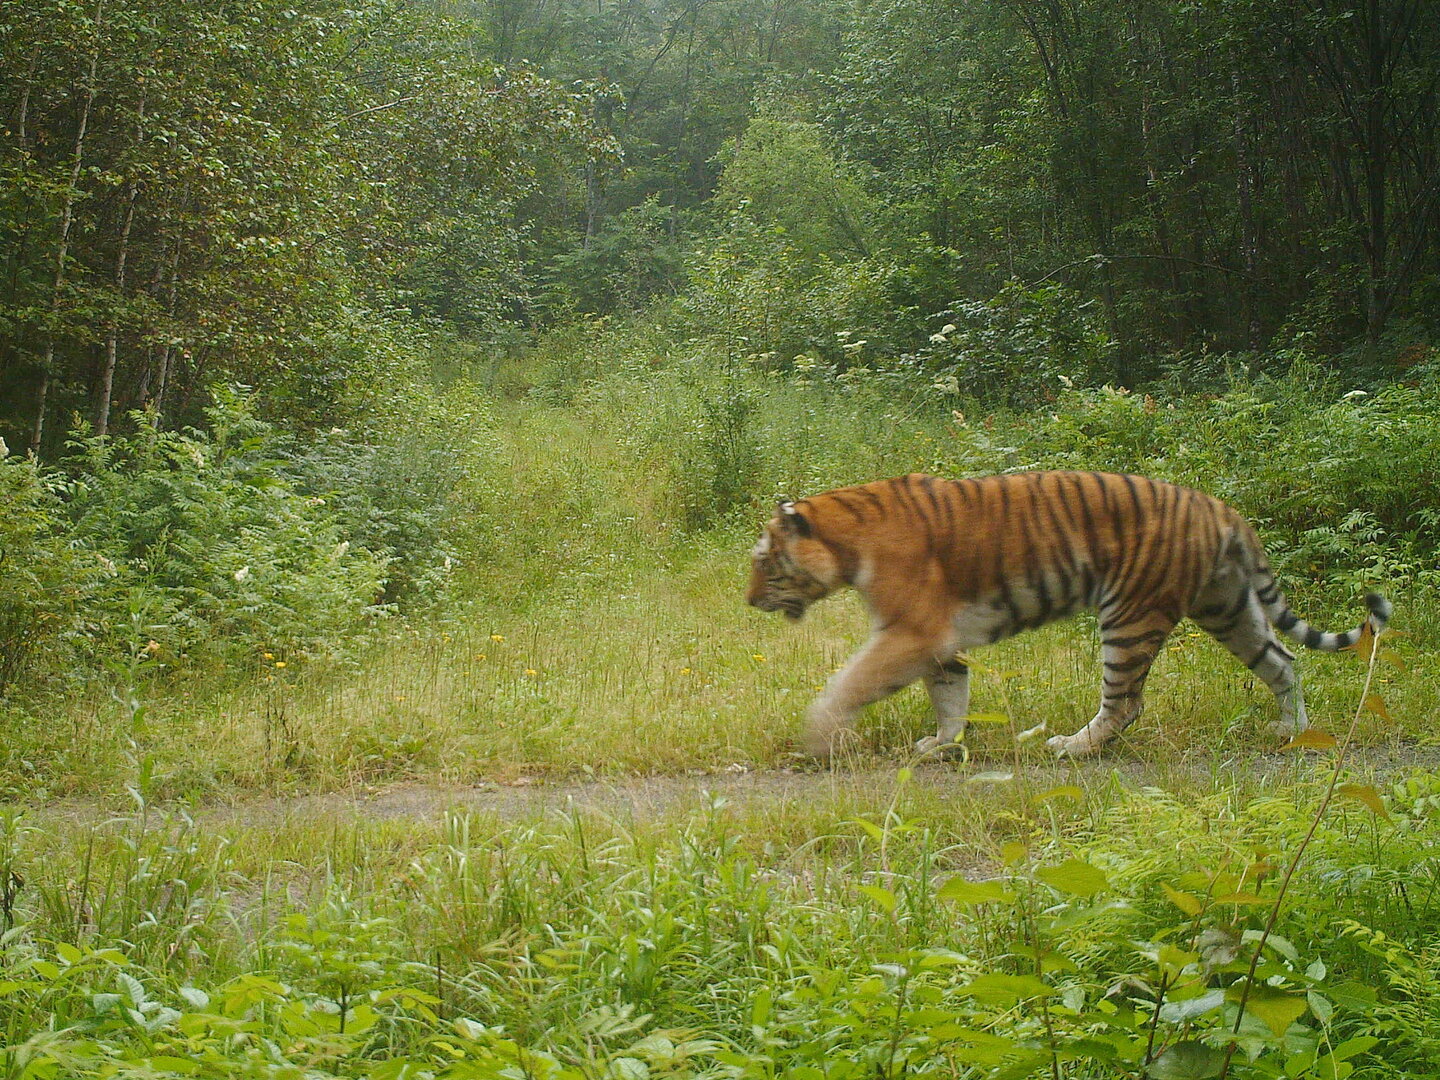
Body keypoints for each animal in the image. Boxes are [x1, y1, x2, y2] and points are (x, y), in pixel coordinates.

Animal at [746, 471, 1391, 761]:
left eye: (766, 562)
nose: (749, 602)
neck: (846, 540)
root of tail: (1222, 508)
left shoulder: (911, 632)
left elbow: (850, 682)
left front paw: (819, 736)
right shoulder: (936, 639)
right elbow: (950, 693)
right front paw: (942, 744)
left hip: (1129, 614)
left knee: (1126, 703)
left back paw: (1070, 747)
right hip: (1227, 607)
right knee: (1282, 662)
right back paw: (1292, 730)